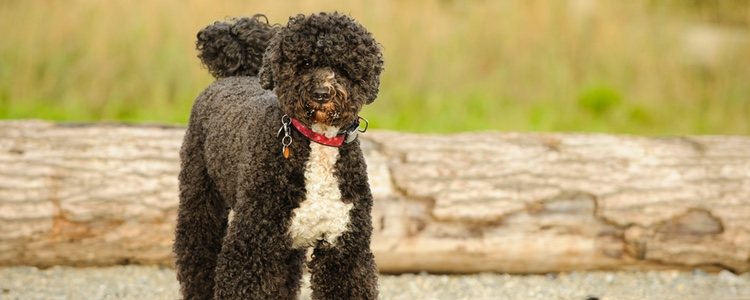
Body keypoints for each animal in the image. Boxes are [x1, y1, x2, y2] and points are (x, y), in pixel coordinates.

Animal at [175, 12, 382, 300]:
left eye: (342, 67)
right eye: (304, 63)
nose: (321, 94)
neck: (316, 143)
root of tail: (235, 75)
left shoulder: (343, 248)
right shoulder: (251, 244)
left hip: (287, 248)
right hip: (200, 198)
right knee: (197, 255)